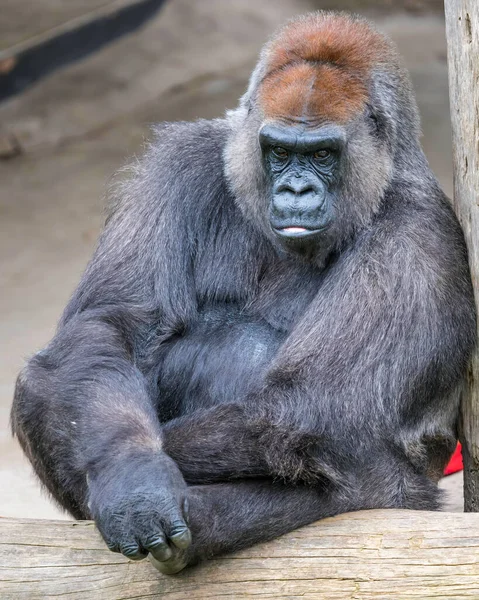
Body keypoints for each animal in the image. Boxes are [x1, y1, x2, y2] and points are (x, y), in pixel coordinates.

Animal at [10, 9, 476, 572]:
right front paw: (132, 475)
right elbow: (111, 325)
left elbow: (305, 409)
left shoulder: (417, 234)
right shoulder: (181, 163)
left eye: (323, 154)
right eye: (278, 151)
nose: (296, 190)